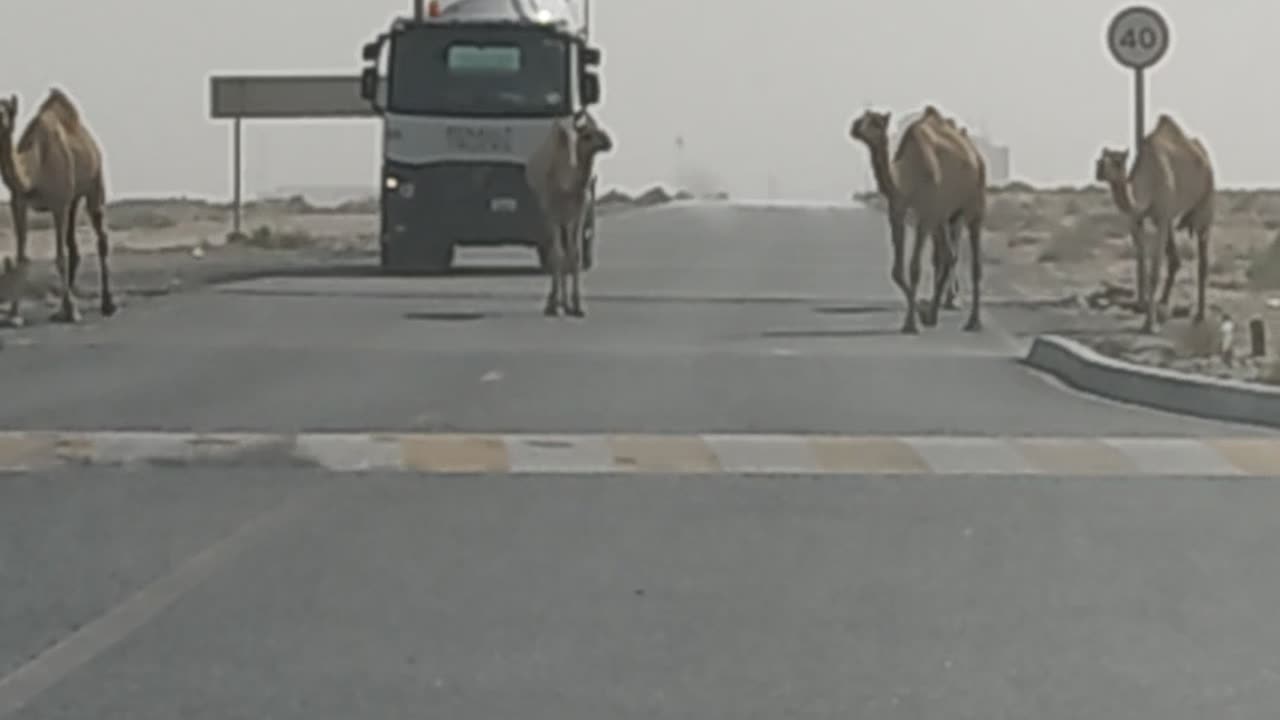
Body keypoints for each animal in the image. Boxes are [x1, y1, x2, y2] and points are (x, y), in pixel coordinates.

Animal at [0, 88, 115, 324]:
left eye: (8, 110)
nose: (0, 118)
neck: (33, 171)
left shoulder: (58, 204)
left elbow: (59, 258)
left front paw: (73, 311)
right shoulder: (18, 204)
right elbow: (21, 258)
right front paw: (13, 315)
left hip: (95, 181)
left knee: (101, 236)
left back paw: (107, 304)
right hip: (73, 199)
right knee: (73, 245)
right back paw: (61, 309)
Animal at [855, 103, 983, 330]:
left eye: (876, 122)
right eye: (862, 118)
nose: (854, 127)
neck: (906, 177)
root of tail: (975, 155)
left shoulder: (926, 214)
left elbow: (914, 268)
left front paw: (910, 324)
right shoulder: (897, 211)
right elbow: (897, 271)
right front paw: (922, 312)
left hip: (973, 205)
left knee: (973, 261)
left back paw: (973, 320)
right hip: (945, 214)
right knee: (948, 256)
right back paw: (934, 312)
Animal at [1095, 113, 1213, 333]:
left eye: (1118, 161)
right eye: (1101, 157)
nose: (1098, 167)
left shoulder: (1162, 216)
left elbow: (1154, 272)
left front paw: (1150, 325)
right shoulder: (1137, 220)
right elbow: (1142, 264)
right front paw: (1146, 313)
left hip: (1206, 202)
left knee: (1202, 259)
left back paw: (1199, 315)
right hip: (1173, 218)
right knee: (1175, 259)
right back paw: (1163, 304)